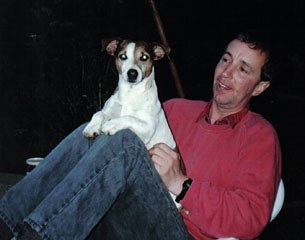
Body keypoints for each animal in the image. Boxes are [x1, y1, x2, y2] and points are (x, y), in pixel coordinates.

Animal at [82, 38, 179, 207]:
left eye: (144, 57)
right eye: (123, 56)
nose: (132, 73)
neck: (130, 94)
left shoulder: (147, 127)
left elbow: (128, 117)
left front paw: (109, 126)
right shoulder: (109, 110)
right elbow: (99, 114)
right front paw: (92, 127)